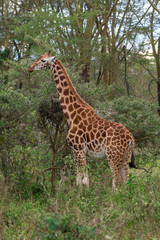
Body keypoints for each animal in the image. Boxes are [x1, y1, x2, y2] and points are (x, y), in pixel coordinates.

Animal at [26, 51, 135, 189]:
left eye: (43, 60)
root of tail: (130, 139)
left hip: (112, 156)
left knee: (117, 182)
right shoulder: (74, 151)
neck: (71, 114)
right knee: (126, 182)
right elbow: (79, 179)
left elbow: (84, 181)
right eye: (39, 57)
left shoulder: (79, 149)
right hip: (125, 157)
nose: (29, 68)